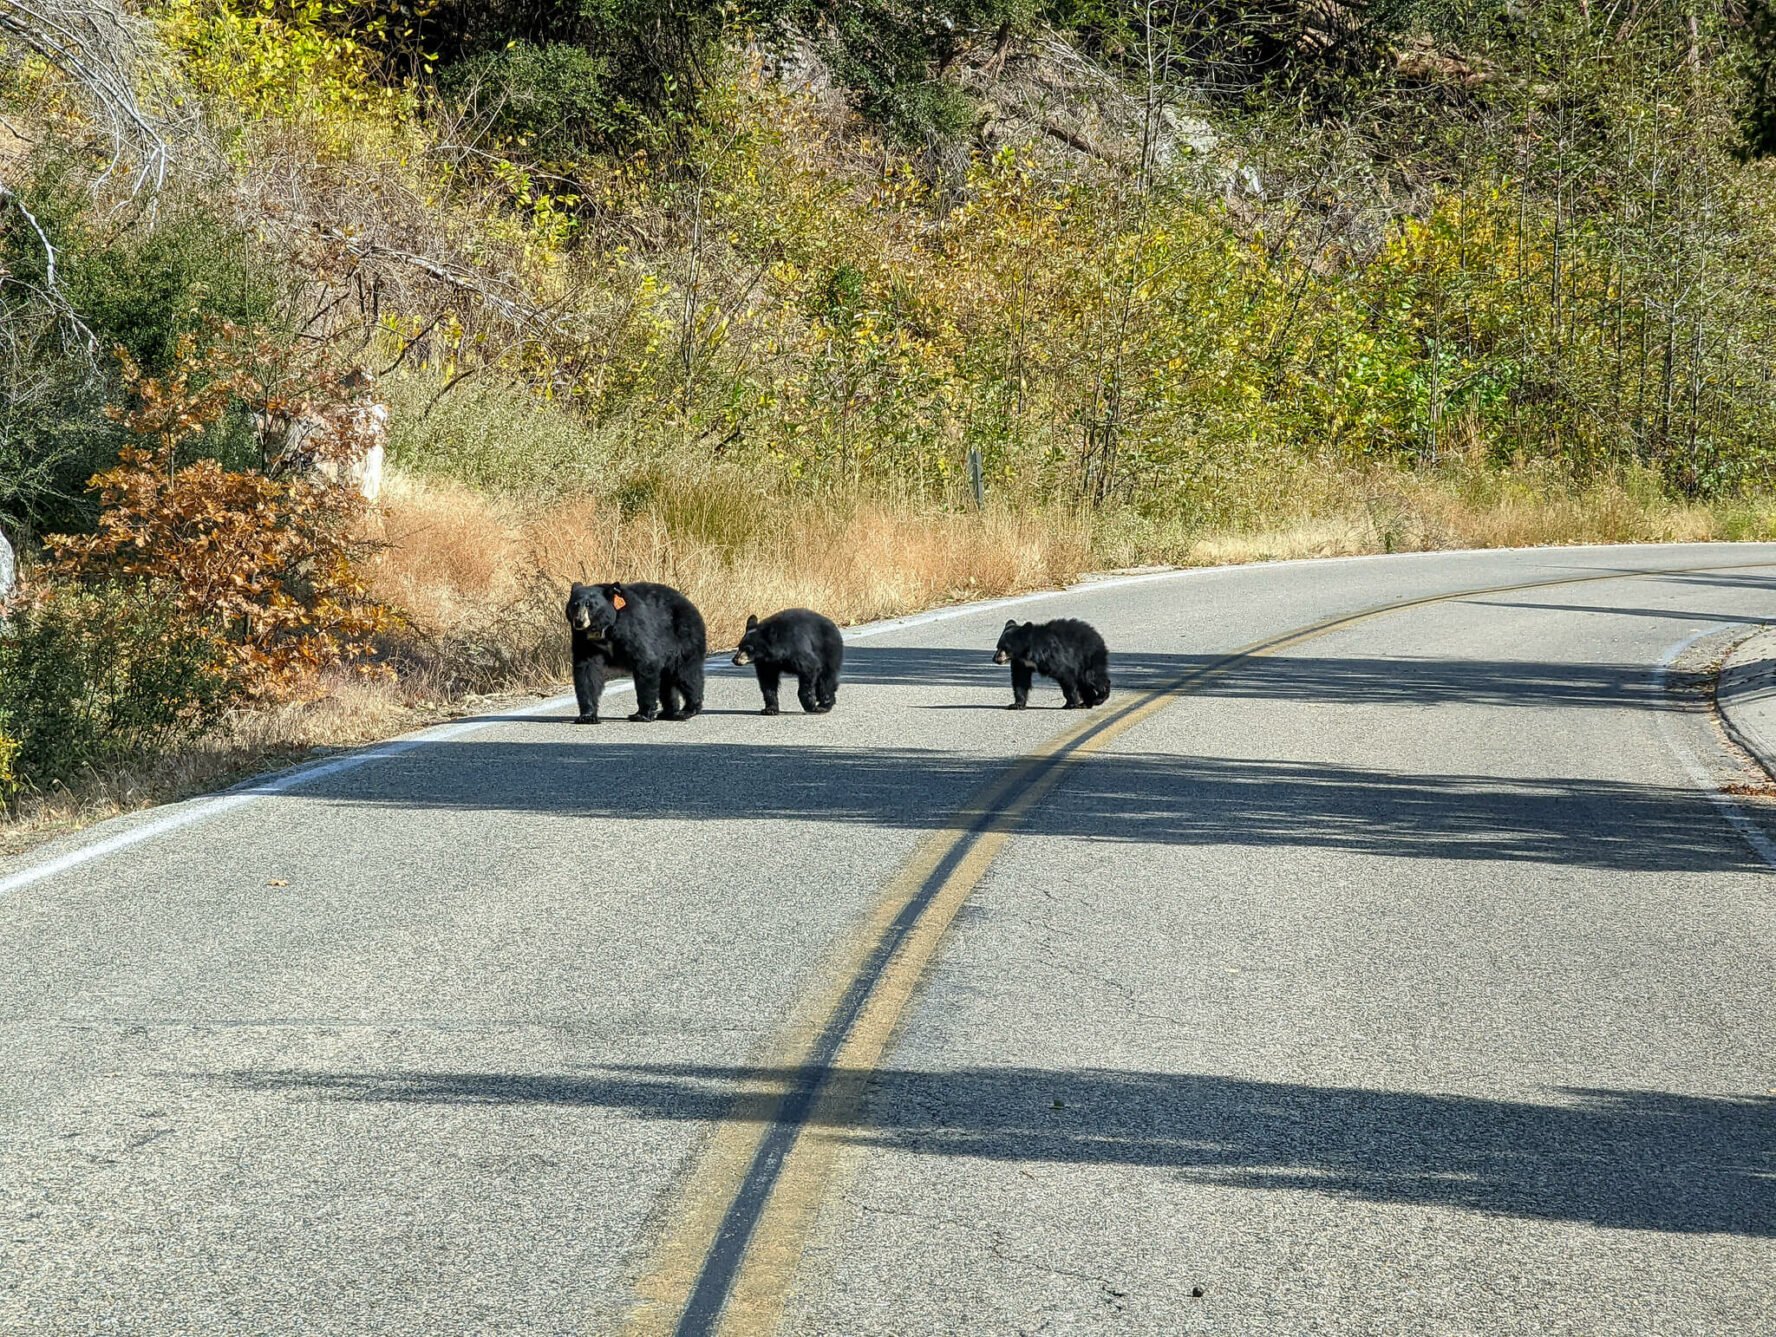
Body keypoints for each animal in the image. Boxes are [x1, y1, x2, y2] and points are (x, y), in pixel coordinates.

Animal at [565, 581, 707, 723]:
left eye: (590, 605)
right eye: (574, 605)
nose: (579, 621)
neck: (604, 630)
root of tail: (689, 604)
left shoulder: (631, 627)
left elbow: (645, 661)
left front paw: (641, 714)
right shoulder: (584, 641)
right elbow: (587, 671)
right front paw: (587, 716)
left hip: (684, 636)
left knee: (686, 673)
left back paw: (687, 710)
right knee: (666, 680)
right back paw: (668, 712)